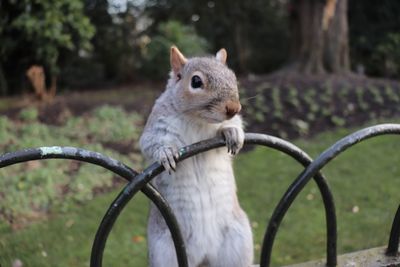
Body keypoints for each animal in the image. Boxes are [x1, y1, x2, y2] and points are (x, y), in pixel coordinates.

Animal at [140, 46, 253, 267]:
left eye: (232, 77)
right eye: (196, 82)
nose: (234, 108)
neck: (198, 120)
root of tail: (205, 255)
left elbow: (233, 125)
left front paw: (232, 132)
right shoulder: (156, 127)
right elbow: (150, 144)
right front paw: (166, 152)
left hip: (238, 242)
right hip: (164, 252)